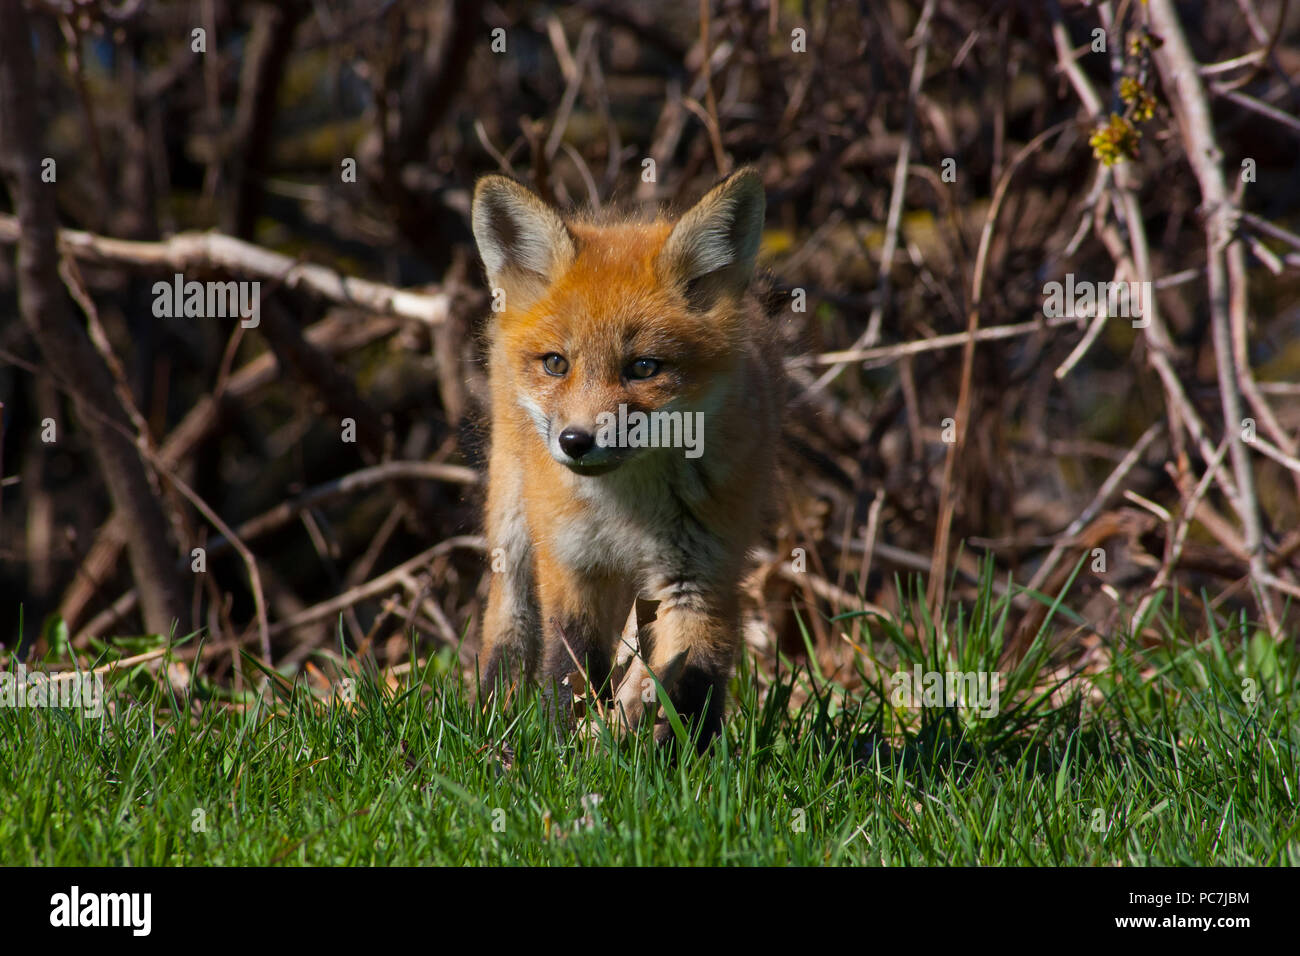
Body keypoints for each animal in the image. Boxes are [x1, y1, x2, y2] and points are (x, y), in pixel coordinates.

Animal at [475, 167, 780, 749]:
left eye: (643, 367)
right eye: (556, 363)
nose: (575, 441)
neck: (626, 509)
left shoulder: (700, 574)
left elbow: (696, 678)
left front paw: (696, 760)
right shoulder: (573, 563)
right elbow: (567, 669)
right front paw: (560, 750)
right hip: (513, 525)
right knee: (507, 627)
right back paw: (493, 713)